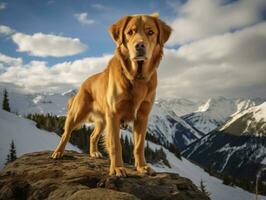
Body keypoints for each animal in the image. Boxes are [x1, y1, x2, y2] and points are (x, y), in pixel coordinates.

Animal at [51, 12, 171, 177]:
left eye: (150, 32)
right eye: (130, 32)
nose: (140, 46)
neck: (137, 78)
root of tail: (83, 83)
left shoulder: (142, 116)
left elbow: (139, 146)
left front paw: (142, 167)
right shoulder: (114, 114)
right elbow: (115, 144)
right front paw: (117, 168)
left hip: (102, 120)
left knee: (92, 136)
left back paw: (94, 152)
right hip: (77, 114)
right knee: (66, 134)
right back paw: (58, 152)